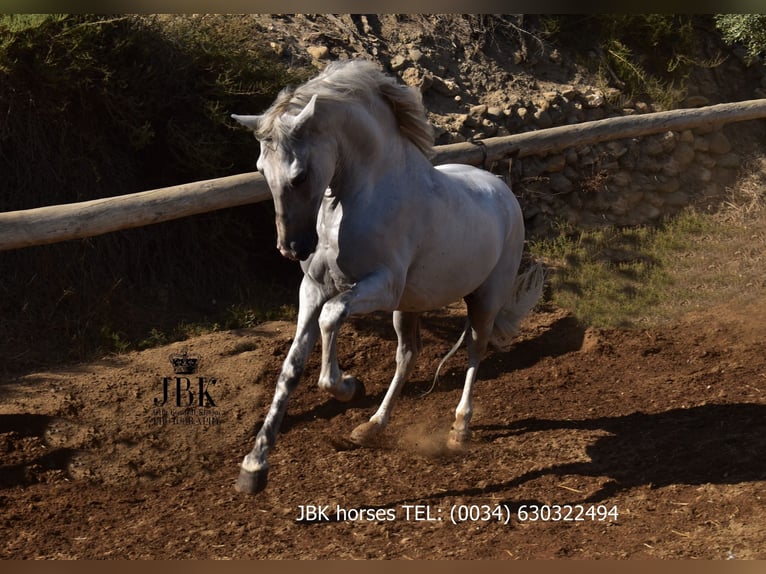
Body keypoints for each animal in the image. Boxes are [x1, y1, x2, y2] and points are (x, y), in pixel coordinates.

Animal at [231, 59, 544, 494]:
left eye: (299, 175)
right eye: (261, 170)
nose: (292, 248)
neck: (358, 198)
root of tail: (503, 191)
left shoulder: (379, 286)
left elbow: (332, 318)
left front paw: (347, 385)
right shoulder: (313, 288)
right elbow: (291, 367)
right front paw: (254, 466)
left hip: (484, 299)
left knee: (474, 351)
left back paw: (459, 429)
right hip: (409, 307)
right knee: (407, 356)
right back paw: (373, 426)